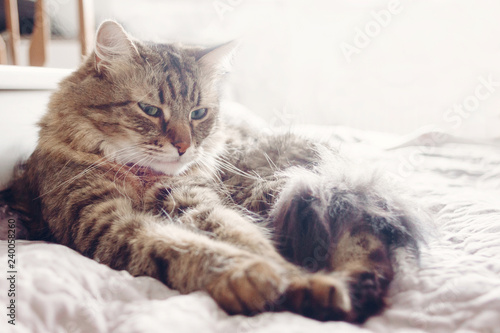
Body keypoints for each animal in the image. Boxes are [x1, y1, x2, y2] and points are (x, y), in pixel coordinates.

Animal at [6, 20, 422, 322]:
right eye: (150, 110)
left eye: (198, 113)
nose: (184, 146)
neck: (141, 176)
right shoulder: (101, 220)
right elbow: (178, 246)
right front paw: (250, 278)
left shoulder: (197, 200)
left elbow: (244, 238)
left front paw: (292, 280)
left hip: (277, 190)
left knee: (366, 234)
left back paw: (345, 291)